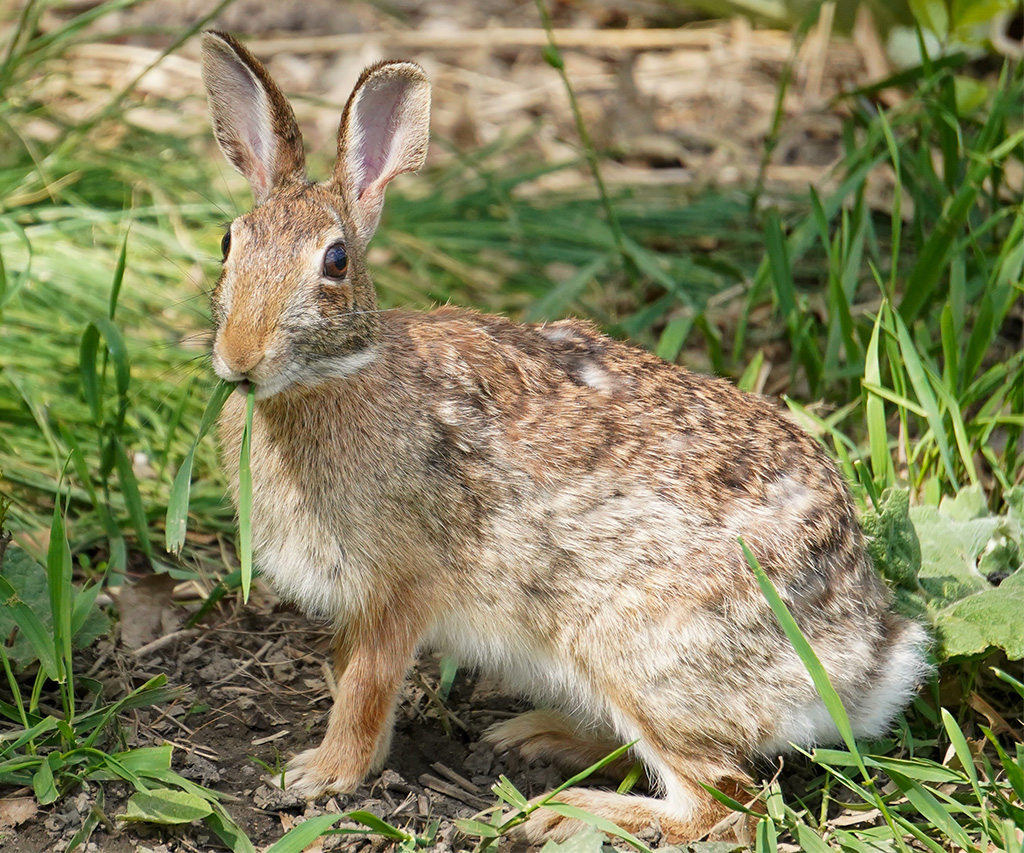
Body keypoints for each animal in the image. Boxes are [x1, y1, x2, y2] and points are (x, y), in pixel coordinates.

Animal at [199, 31, 930, 843]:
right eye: (229, 241)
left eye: (335, 261)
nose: (240, 356)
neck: (335, 376)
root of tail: (864, 656)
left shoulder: (400, 587)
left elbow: (366, 687)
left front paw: (322, 773)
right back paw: (537, 738)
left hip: (635, 653)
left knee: (725, 804)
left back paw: (564, 812)